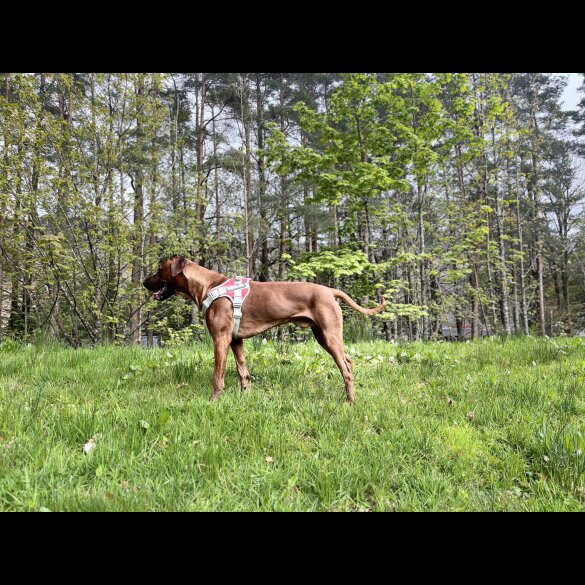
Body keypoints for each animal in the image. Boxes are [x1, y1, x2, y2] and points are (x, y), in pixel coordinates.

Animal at [144, 256, 386, 402]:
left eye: (158, 269)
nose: (144, 282)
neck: (209, 286)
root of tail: (330, 291)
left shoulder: (220, 339)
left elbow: (217, 376)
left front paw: (213, 401)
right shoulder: (236, 340)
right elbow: (243, 371)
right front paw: (245, 397)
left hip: (329, 335)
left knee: (345, 369)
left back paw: (350, 402)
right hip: (324, 335)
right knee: (349, 360)